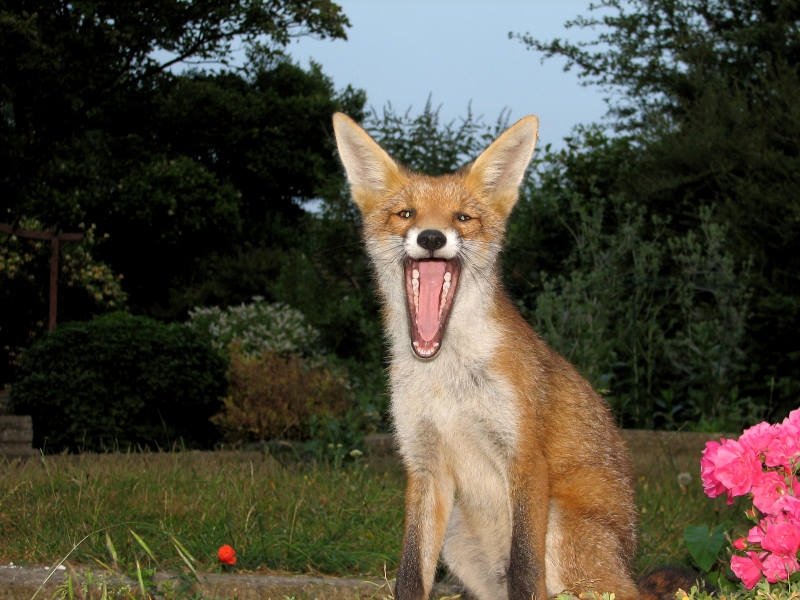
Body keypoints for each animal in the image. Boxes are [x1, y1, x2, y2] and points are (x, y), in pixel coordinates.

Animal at [332, 112, 670, 600]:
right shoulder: (424, 466)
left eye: (463, 217)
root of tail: (630, 568)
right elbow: (410, 575)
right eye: (406, 214)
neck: (447, 380)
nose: (431, 237)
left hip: (562, 530)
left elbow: (525, 572)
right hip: (457, 538)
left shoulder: (524, 457)